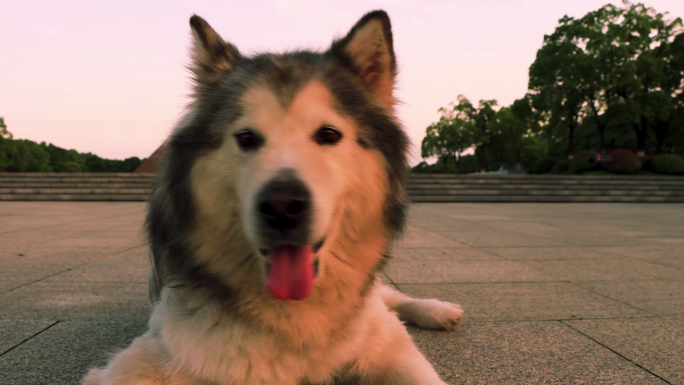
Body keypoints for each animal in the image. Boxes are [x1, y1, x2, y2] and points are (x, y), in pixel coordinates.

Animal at [83, 10, 462, 382]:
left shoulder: (387, 346)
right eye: (247, 138)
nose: (282, 206)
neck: (296, 314)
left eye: (328, 134)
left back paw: (436, 309)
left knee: (387, 296)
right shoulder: (150, 357)